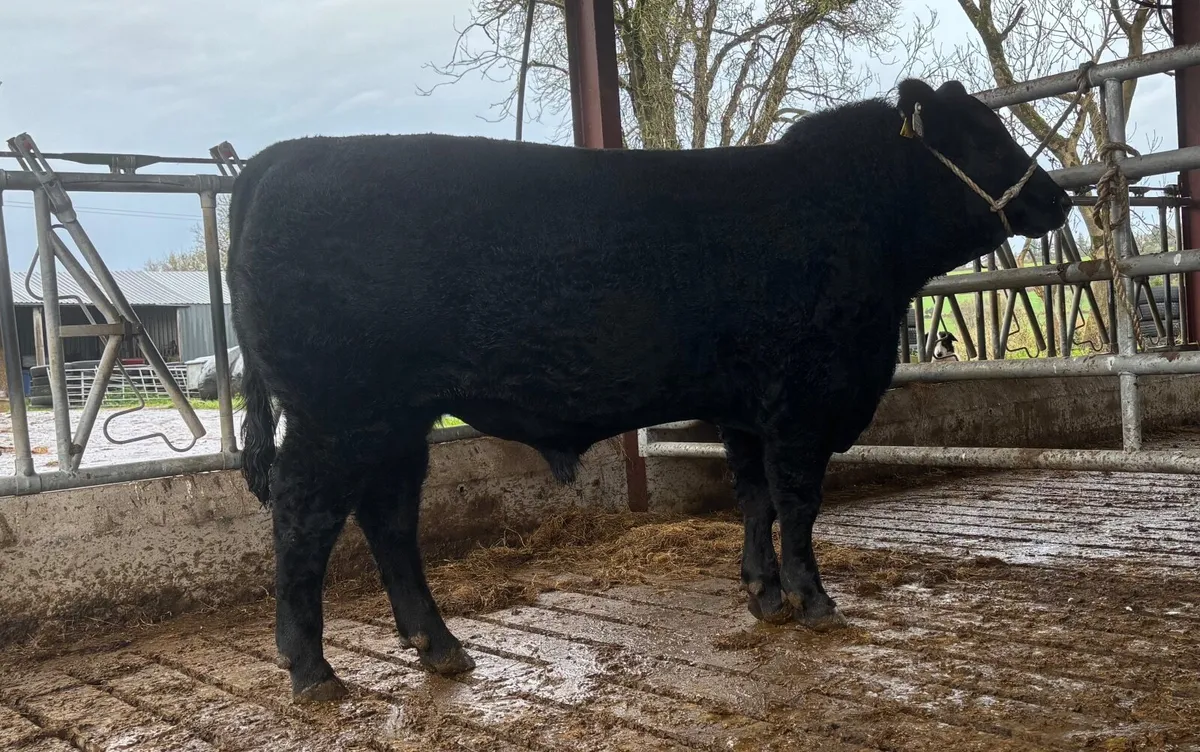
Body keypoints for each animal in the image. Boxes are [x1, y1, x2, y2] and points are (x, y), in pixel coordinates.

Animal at [227, 77, 1071, 702]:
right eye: (983, 136)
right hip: (338, 413)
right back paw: (313, 671)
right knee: (305, 520)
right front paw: (815, 602)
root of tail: (285, 155)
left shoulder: (745, 406)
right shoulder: (804, 398)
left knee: (389, 520)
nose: (1060, 199)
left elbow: (754, 497)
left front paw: (764, 595)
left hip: (397, 417)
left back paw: (440, 647)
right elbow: (798, 502)